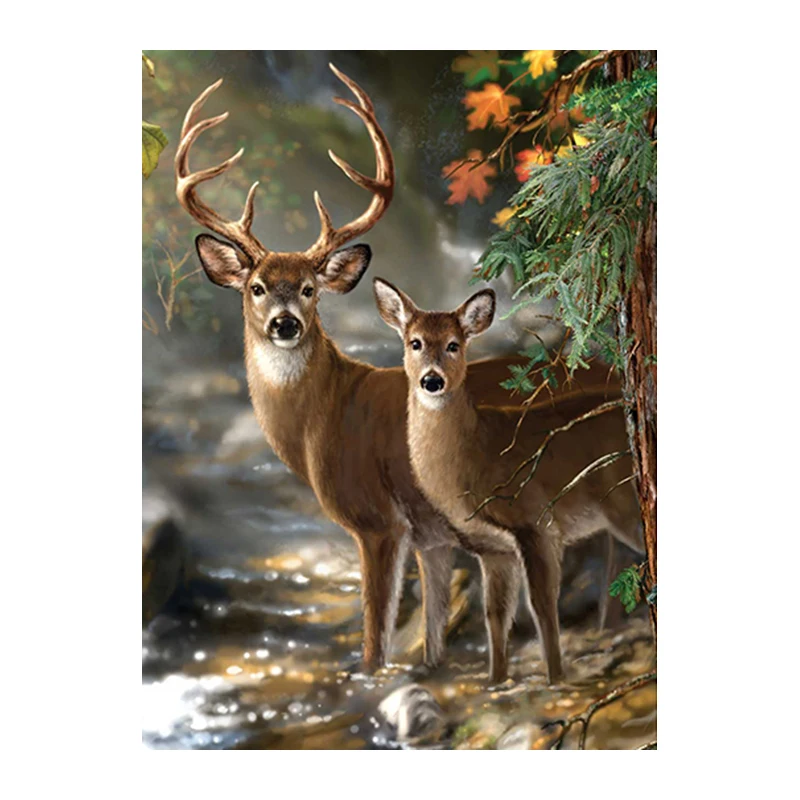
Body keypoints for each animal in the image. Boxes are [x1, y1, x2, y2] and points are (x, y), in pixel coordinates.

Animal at [174, 64, 622, 674]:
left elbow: (375, 638)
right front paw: (433, 667)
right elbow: (431, 631)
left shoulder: (377, 520)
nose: (285, 324)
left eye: (310, 289)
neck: (321, 419)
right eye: (257, 287)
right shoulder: (432, 535)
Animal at [373, 278, 643, 684]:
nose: (432, 380)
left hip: (627, 505)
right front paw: (496, 681)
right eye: (415, 342)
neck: (477, 455)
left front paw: (555, 679)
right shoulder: (493, 548)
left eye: (454, 344)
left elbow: (542, 607)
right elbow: (496, 616)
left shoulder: (536, 521)